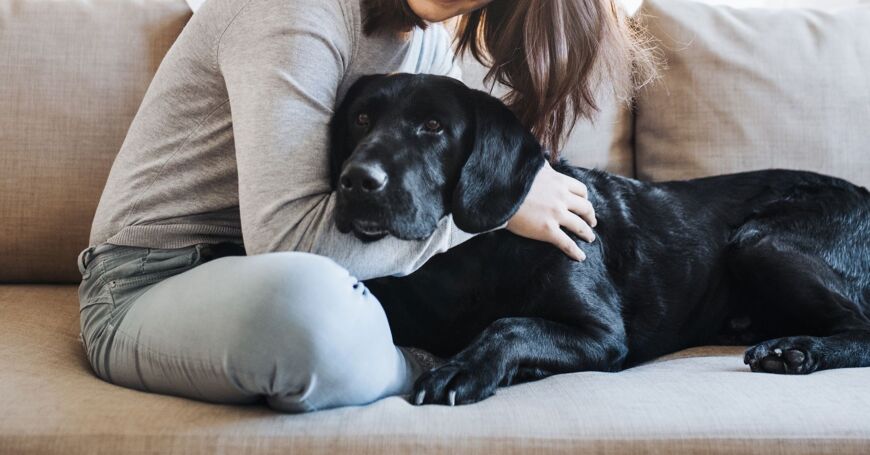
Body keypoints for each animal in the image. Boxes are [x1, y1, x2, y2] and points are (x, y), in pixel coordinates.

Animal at [328, 73, 870, 408]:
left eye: (434, 126)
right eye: (360, 119)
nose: (357, 181)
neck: (464, 264)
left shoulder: (604, 335)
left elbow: (510, 324)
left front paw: (463, 369)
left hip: (758, 241)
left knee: (861, 328)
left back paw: (796, 350)